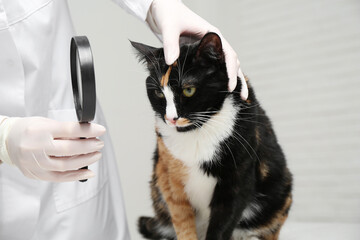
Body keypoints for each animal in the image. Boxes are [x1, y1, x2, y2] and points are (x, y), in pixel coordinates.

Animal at [131, 32, 292, 240]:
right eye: (159, 92)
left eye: (188, 90)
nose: (171, 118)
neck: (198, 133)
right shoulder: (171, 180)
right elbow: (183, 224)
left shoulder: (237, 180)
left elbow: (222, 225)